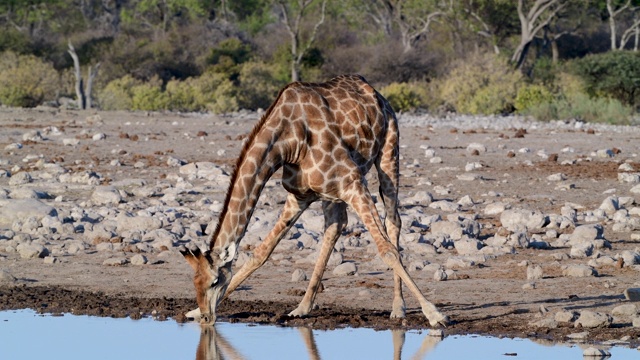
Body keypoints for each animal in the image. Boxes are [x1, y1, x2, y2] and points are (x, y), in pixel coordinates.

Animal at [180, 74, 448, 328]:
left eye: (215, 281)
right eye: (195, 282)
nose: (207, 317)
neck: (287, 141)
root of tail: (377, 95)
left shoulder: (352, 182)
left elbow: (387, 250)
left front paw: (434, 314)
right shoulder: (299, 196)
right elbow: (261, 252)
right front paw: (192, 312)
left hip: (389, 152)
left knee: (393, 222)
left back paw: (398, 308)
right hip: (332, 193)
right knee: (335, 226)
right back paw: (302, 307)